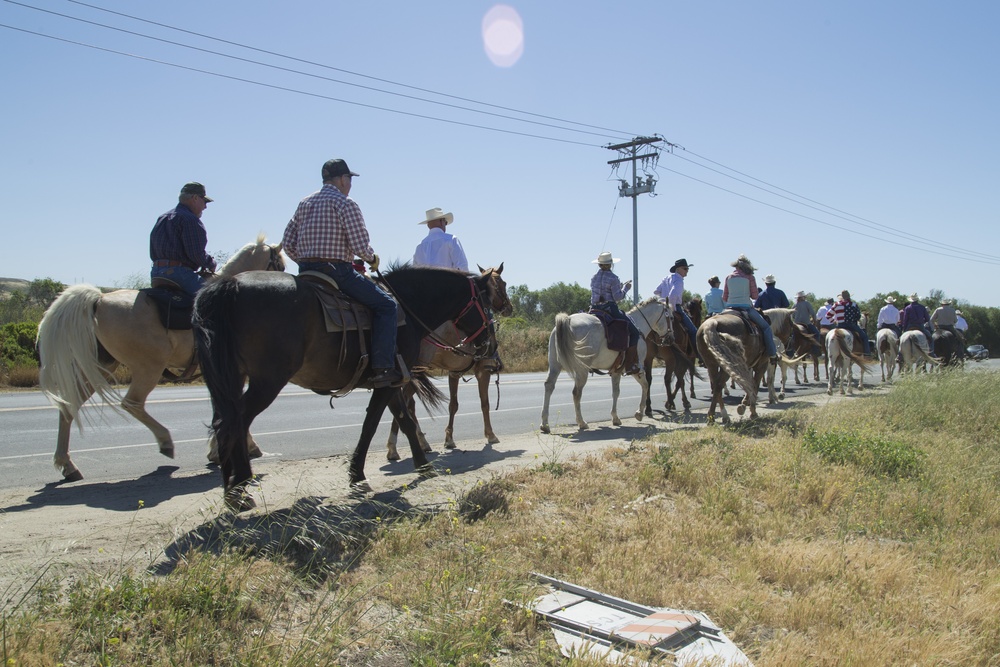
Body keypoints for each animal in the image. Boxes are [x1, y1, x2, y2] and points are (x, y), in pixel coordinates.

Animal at [36, 235, 286, 480]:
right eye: (280, 265)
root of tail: (99, 300)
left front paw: (218, 451)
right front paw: (241, 447)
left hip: (100, 367)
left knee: (69, 406)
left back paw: (67, 465)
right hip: (148, 367)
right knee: (132, 403)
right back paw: (165, 441)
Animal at [192, 266, 500, 512]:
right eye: (487, 302)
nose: (490, 344)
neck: (407, 308)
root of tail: (230, 284)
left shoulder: (391, 380)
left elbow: (405, 420)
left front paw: (423, 464)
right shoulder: (389, 380)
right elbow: (372, 424)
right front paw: (358, 475)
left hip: (228, 378)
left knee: (222, 422)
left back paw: (230, 489)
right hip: (267, 381)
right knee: (236, 422)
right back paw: (240, 486)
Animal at [384, 264, 516, 462]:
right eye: (503, 283)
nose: (509, 308)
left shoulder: (453, 373)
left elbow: (453, 405)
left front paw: (449, 439)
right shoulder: (482, 371)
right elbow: (484, 403)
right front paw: (491, 435)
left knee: (408, 404)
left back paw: (419, 442)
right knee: (405, 404)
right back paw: (395, 446)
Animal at [540, 298, 672, 434]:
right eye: (671, 318)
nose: (669, 338)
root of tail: (567, 320)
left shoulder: (616, 371)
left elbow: (616, 392)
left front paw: (615, 418)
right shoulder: (637, 368)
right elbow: (645, 386)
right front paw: (639, 413)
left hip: (555, 365)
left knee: (549, 386)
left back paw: (545, 424)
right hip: (582, 370)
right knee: (576, 393)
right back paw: (581, 422)